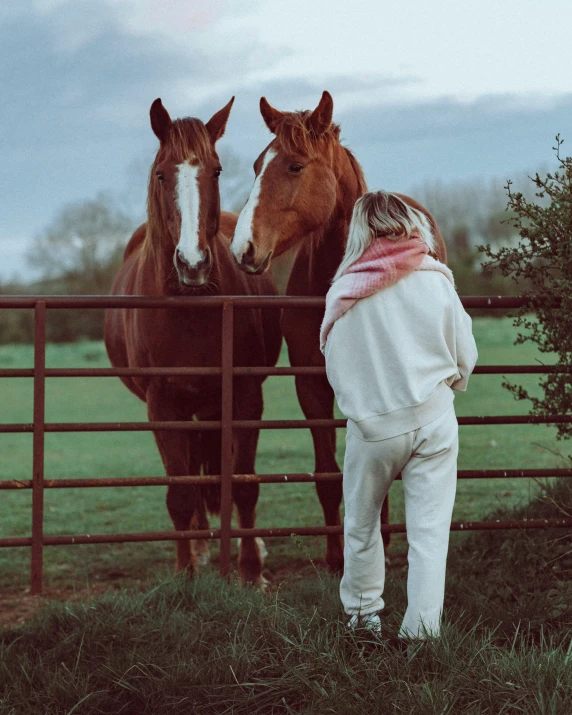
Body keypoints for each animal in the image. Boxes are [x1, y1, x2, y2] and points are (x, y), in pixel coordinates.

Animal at [104, 96, 282, 588]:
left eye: (217, 171)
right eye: (162, 174)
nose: (193, 263)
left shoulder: (245, 396)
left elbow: (241, 484)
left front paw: (251, 572)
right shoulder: (163, 406)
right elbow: (180, 495)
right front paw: (185, 575)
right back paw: (199, 548)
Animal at [229, 91, 446, 576]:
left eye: (294, 166)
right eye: (255, 165)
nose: (242, 249)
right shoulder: (311, 384)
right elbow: (328, 474)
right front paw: (334, 557)